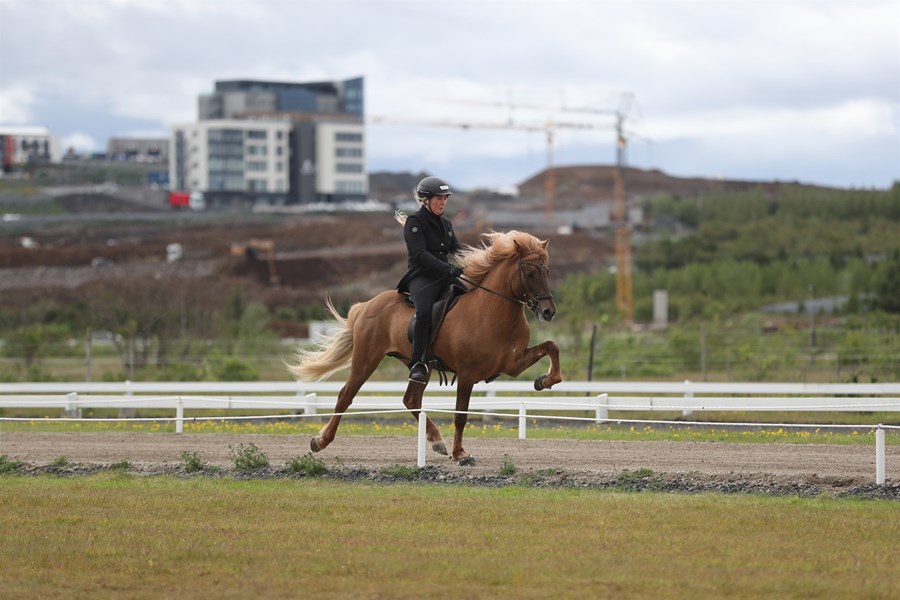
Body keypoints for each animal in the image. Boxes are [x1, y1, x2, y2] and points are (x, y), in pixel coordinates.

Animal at [288, 230, 560, 464]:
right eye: (530, 273)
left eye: (547, 271)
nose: (548, 312)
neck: (491, 311)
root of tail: (367, 305)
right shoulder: (468, 374)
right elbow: (461, 415)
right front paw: (461, 454)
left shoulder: (512, 365)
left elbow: (552, 346)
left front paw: (544, 380)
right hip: (366, 359)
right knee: (346, 396)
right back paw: (320, 441)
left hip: (419, 365)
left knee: (410, 400)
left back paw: (436, 440)